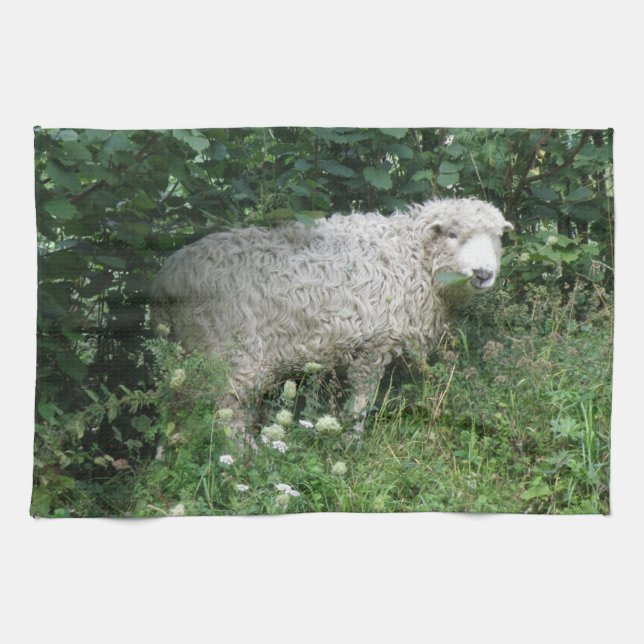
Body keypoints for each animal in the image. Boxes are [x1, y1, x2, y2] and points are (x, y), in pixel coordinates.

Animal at [151, 197, 513, 431]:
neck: (410, 255)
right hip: (232, 352)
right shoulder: (373, 344)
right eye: (452, 234)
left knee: (175, 406)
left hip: (185, 351)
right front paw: (352, 441)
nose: (484, 273)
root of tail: (166, 279)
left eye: (497, 238)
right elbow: (361, 402)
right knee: (227, 414)